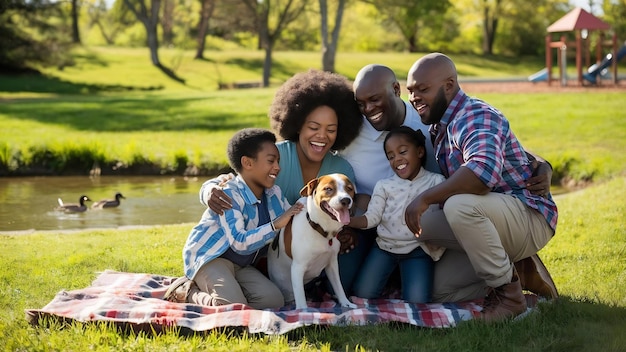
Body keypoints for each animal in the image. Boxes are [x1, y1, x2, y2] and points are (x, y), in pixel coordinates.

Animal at [266, 173, 356, 308]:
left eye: (349, 188)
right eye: (328, 189)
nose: (346, 200)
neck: (320, 228)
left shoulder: (332, 264)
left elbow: (339, 286)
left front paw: (346, 303)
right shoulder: (297, 268)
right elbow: (300, 299)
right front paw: (304, 311)